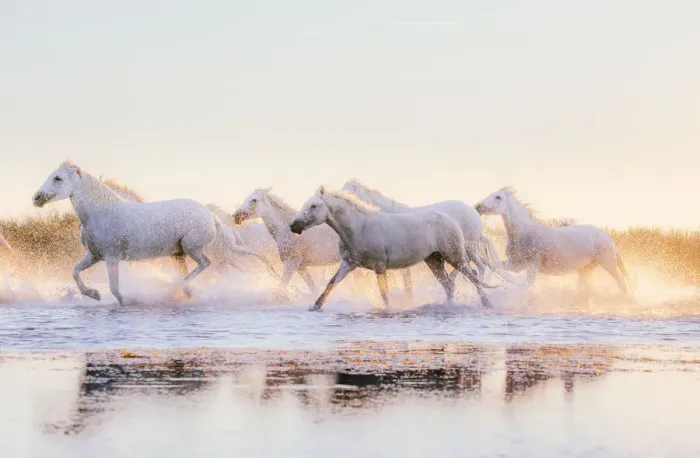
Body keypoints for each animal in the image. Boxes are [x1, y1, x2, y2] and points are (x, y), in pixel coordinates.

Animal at [32, 161, 277, 304]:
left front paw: (128, 301)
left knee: (205, 264)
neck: (100, 213)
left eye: (58, 178)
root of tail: (209, 214)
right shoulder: (94, 256)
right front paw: (94, 294)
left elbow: (115, 289)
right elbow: (75, 272)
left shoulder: (112, 258)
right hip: (178, 254)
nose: (36, 198)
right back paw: (183, 292)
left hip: (191, 248)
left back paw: (174, 289)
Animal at [289, 186, 495, 311]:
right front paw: (315, 306)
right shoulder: (348, 264)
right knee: (449, 284)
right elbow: (331, 283)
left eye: (314, 205)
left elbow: (384, 293)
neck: (359, 227)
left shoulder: (380, 267)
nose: (294, 226)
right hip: (434, 260)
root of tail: (452, 220)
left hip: (455, 256)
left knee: (473, 276)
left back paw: (487, 304)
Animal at [474, 187, 635, 298]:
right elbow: (492, 266)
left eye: (498, 197)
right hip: (586, 270)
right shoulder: (516, 265)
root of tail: (609, 239)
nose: (478, 207)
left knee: (622, 284)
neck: (525, 232)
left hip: (609, 264)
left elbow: (525, 287)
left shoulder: (531, 266)